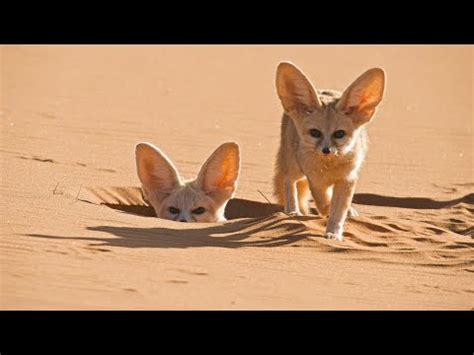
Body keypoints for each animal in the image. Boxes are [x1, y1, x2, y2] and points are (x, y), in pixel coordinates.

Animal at [274, 63, 386, 242]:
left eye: (339, 134)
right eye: (315, 133)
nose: (326, 150)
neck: (329, 168)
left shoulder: (347, 179)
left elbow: (338, 210)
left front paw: (334, 232)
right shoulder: (315, 180)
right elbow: (324, 202)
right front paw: (326, 213)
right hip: (295, 167)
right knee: (288, 180)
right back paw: (293, 211)